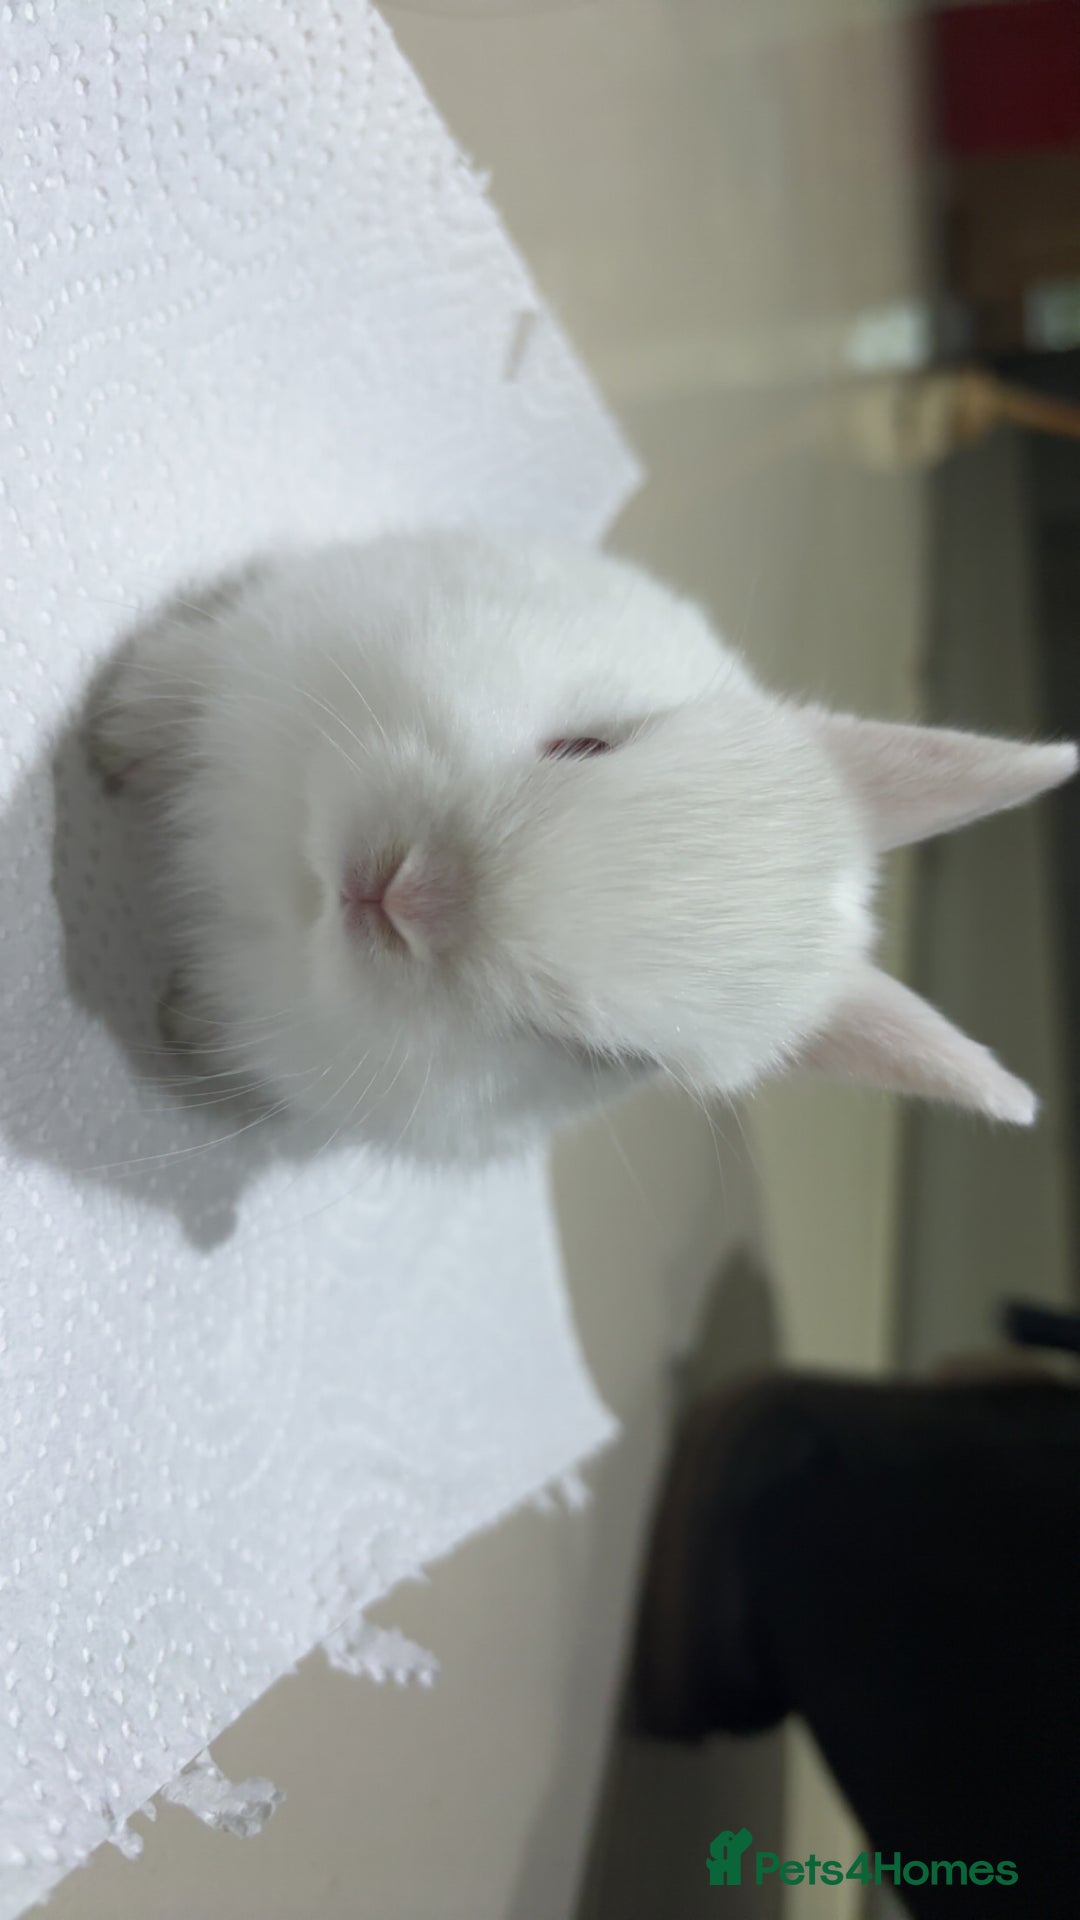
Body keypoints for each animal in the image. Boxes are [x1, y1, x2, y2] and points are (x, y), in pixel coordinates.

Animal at [87, 530, 1077, 1164]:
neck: (296, 893)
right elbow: (188, 689)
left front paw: (179, 1033)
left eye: (605, 1057)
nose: (408, 898)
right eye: (587, 744)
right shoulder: (268, 641)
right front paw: (113, 739)